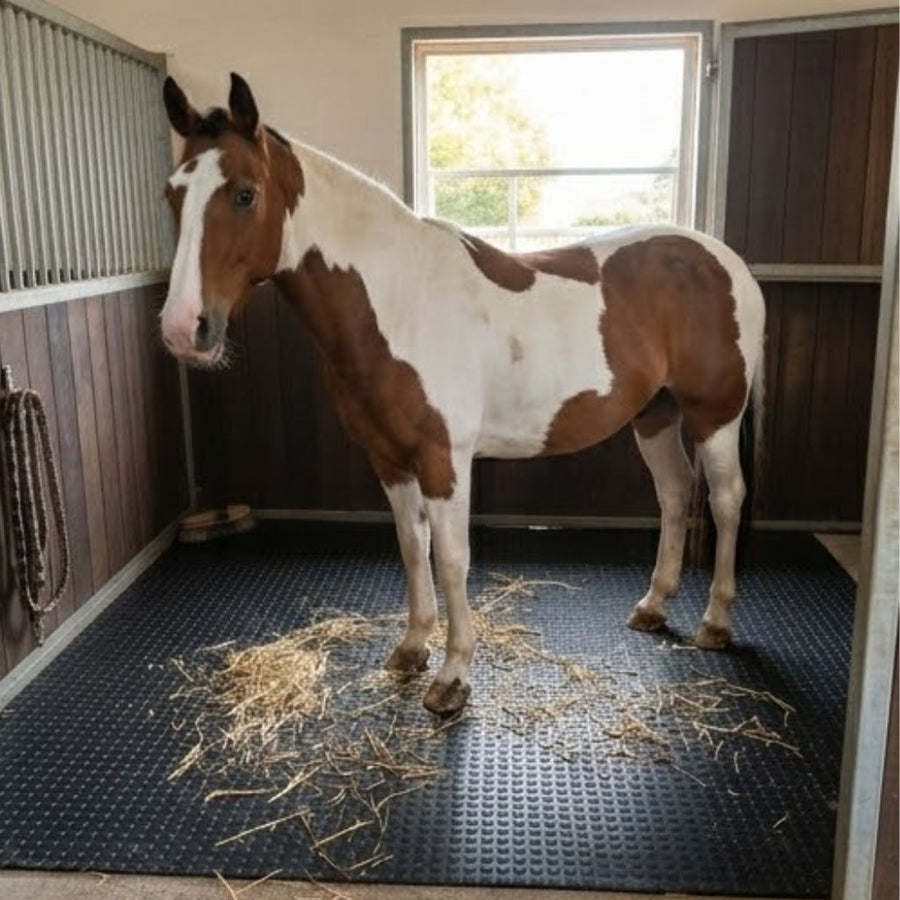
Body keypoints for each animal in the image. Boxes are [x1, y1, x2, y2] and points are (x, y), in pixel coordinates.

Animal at [160, 73, 765, 715]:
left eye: (245, 194)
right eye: (173, 193)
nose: (184, 328)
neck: (398, 300)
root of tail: (725, 262)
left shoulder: (442, 459)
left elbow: (452, 559)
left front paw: (452, 676)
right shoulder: (389, 459)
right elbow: (412, 546)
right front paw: (412, 648)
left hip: (714, 415)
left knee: (725, 498)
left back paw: (715, 622)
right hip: (655, 415)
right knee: (674, 494)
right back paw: (653, 606)